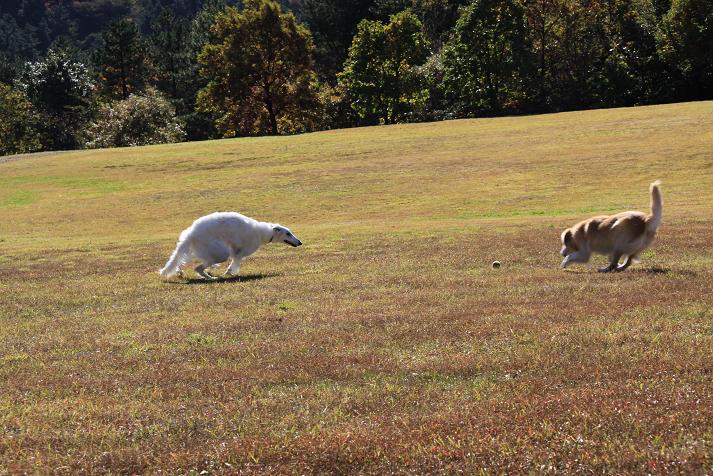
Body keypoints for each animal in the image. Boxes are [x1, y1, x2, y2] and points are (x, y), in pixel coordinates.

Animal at [160, 211, 302, 278]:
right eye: (288, 233)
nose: (300, 242)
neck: (263, 232)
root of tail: (191, 234)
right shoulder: (240, 252)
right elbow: (234, 263)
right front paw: (229, 273)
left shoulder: (236, 250)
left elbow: (234, 261)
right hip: (220, 253)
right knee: (198, 268)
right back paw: (210, 277)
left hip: (198, 250)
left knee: (182, 263)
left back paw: (181, 272)